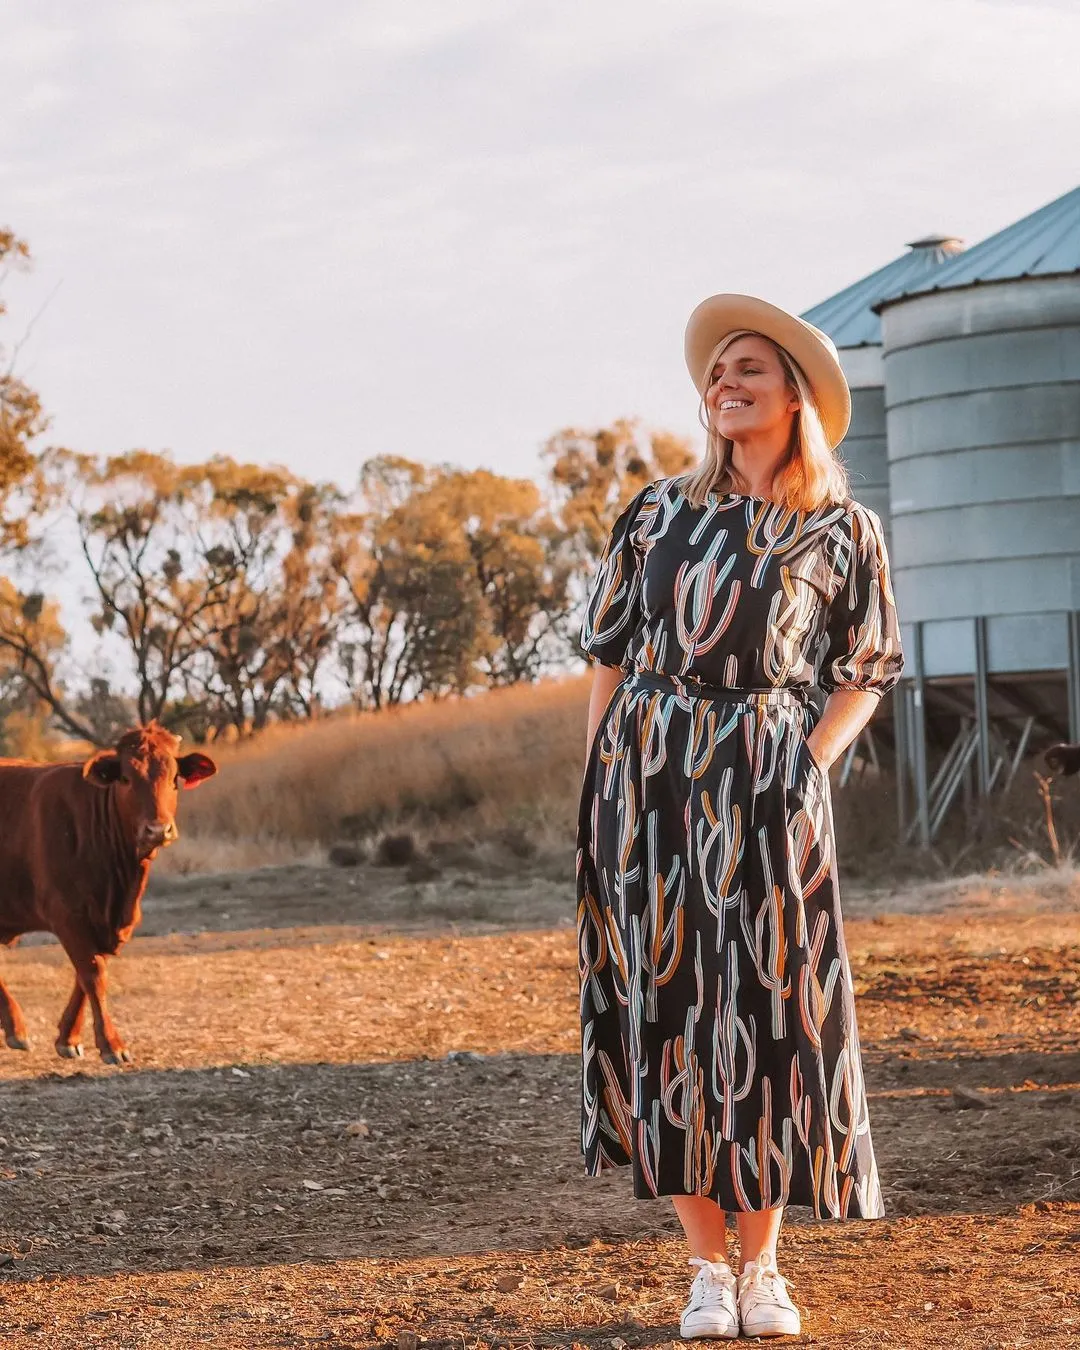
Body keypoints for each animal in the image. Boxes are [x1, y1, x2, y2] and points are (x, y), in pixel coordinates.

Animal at [0, 723, 217, 1058]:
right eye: (126, 778)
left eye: (174, 779)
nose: (158, 830)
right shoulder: (67, 915)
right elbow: (93, 974)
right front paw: (111, 1044)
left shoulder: (106, 923)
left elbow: (85, 973)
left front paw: (68, 1038)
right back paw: (17, 1028)